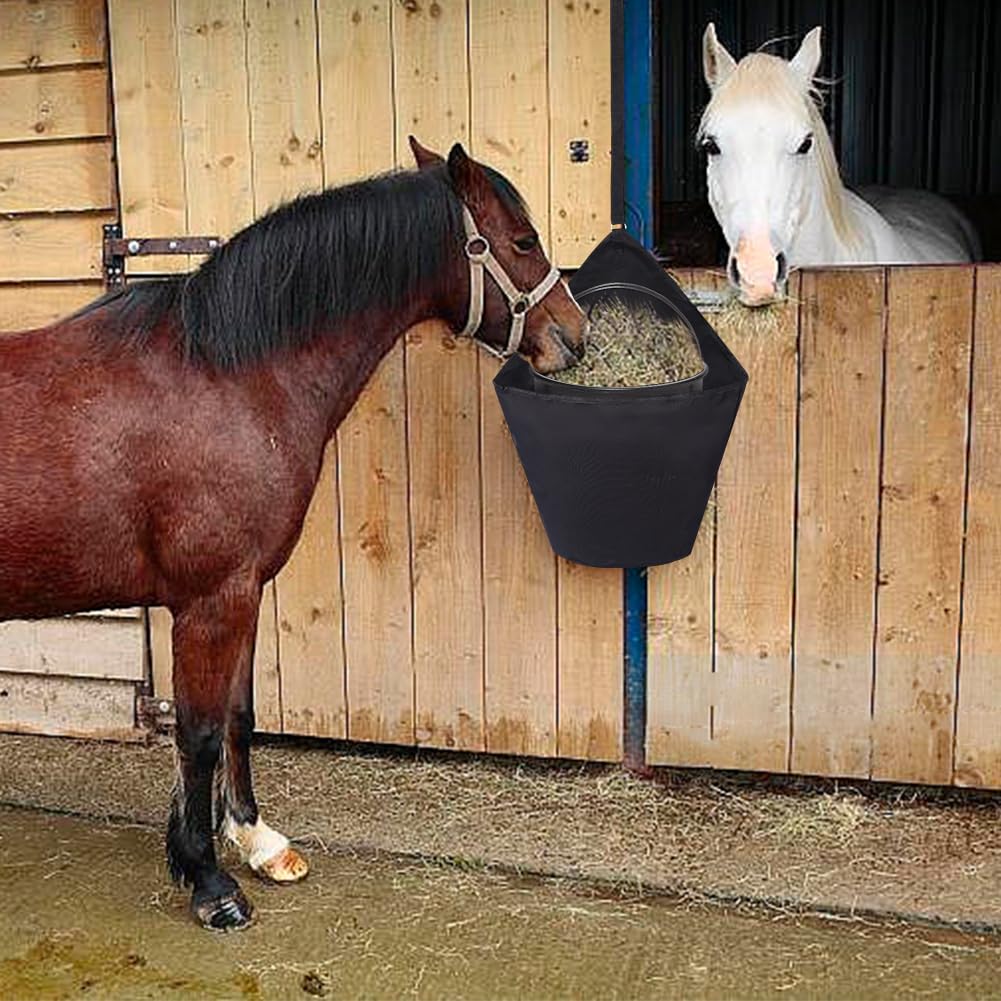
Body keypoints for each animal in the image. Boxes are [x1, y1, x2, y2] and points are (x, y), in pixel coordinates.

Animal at [0, 137, 585, 930]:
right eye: (522, 241)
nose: (574, 335)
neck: (222, 376)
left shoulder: (243, 592)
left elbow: (239, 716)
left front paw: (257, 841)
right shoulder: (210, 601)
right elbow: (199, 734)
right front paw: (210, 880)